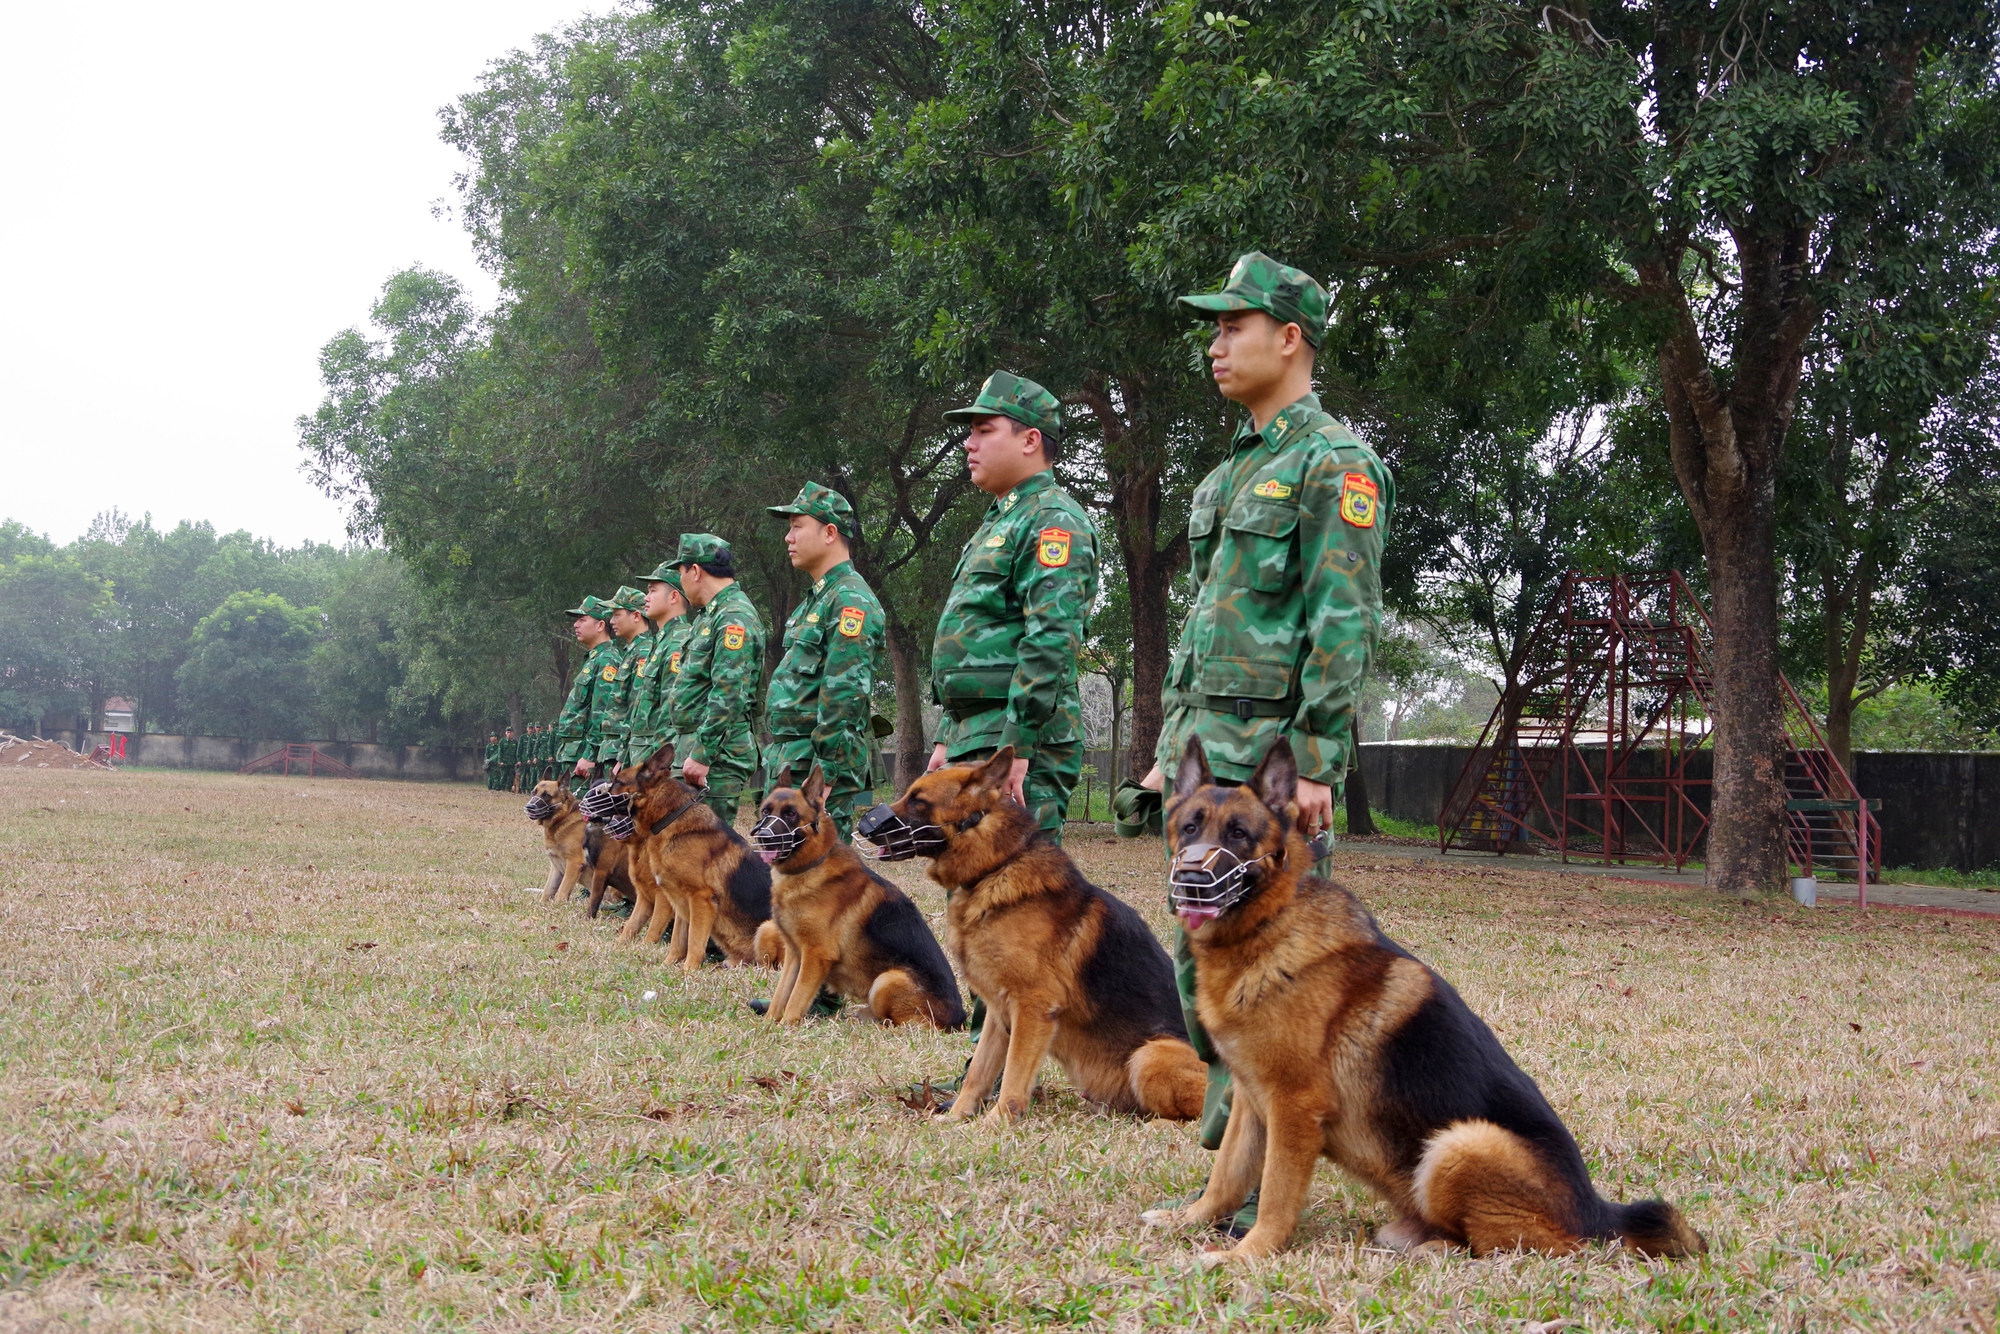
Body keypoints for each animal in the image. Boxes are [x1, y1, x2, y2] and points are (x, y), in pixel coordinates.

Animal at [600, 740, 772, 972]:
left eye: (617, 782)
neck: (670, 818)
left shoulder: (700, 900)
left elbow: (694, 941)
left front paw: (688, 971)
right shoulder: (680, 902)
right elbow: (677, 940)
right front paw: (667, 965)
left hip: (768, 929)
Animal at [752, 760, 968, 1032]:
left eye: (790, 814)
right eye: (765, 812)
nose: (763, 838)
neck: (812, 866)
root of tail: (960, 1018)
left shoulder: (816, 955)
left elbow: (797, 997)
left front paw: (787, 1027)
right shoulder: (794, 954)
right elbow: (782, 994)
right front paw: (769, 1023)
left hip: (887, 979)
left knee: (906, 1025)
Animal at [860, 748, 1200, 1120]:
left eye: (918, 800)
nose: (863, 825)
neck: (998, 867)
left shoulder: (1032, 1010)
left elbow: (1013, 1078)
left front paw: (996, 1123)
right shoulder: (997, 1014)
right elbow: (978, 1073)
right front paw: (957, 1118)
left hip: (1150, 1055)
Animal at [1144, 736, 1704, 1272]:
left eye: (1239, 834)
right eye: (1190, 828)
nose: (1192, 882)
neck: (1268, 926)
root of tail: (1598, 1214)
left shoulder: (1293, 1110)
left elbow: (1276, 1198)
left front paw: (1248, 1255)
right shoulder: (1249, 1100)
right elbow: (1226, 1175)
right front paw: (1189, 1220)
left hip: (1460, 1144)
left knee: (1534, 1249)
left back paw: (1444, 1251)